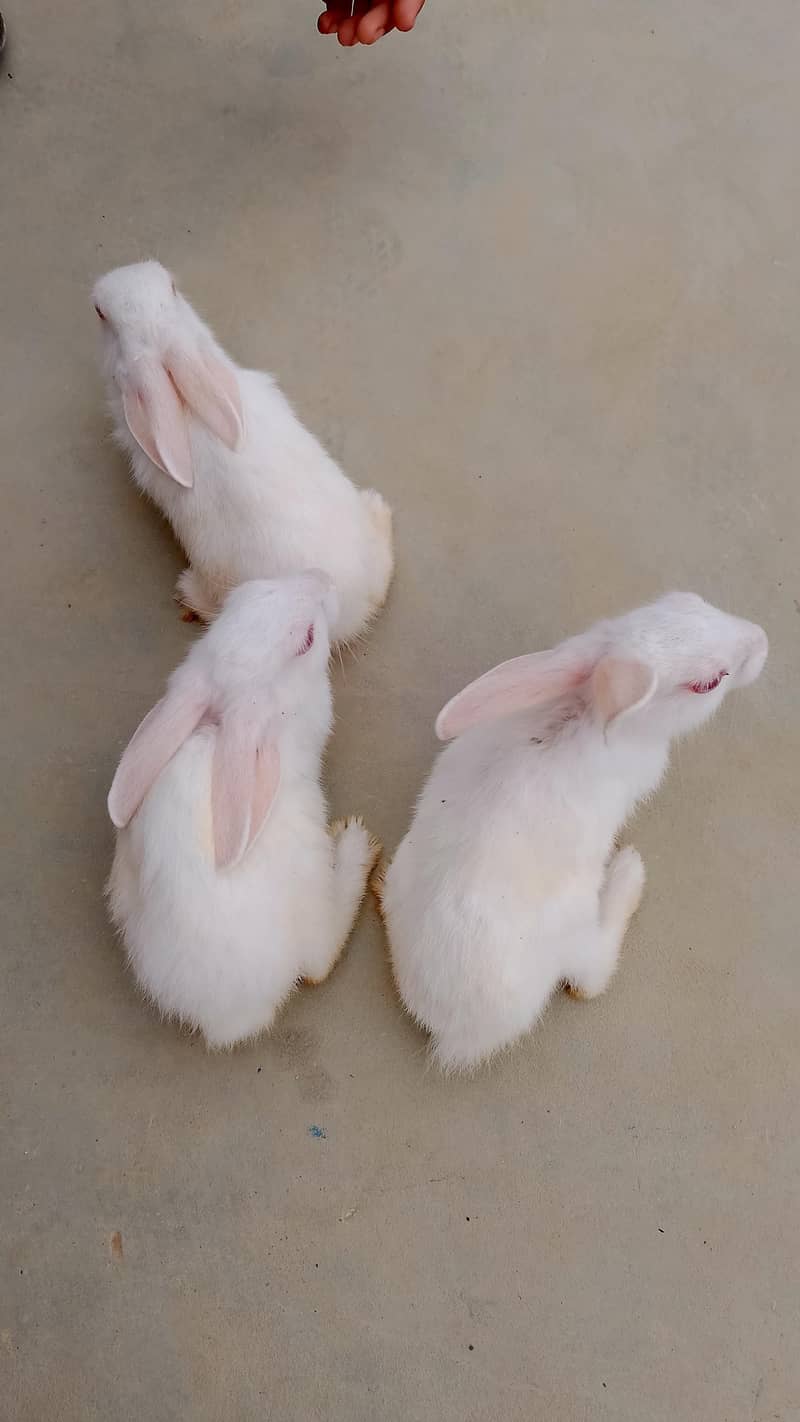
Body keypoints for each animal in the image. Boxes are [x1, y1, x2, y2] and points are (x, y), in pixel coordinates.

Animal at [106, 571, 380, 1048]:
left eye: (244, 594)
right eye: (308, 640)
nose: (321, 580)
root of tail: (226, 1019)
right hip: (310, 875)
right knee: (319, 963)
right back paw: (355, 844)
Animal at [376, 592, 768, 1072]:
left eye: (687, 598)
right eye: (709, 683)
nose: (763, 640)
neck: (586, 710)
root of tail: (452, 1030)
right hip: (576, 929)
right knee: (590, 979)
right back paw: (628, 873)